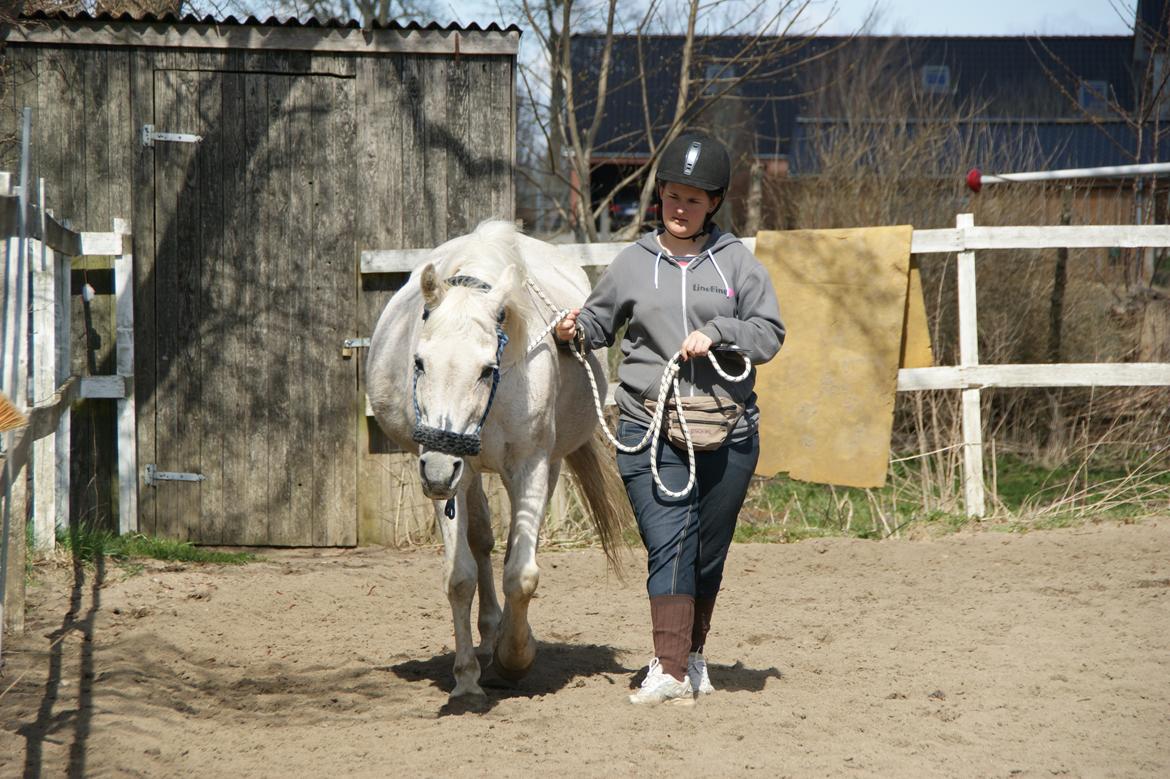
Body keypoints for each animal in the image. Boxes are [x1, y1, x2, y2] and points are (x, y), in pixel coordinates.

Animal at [367, 218, 631, 697]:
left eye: (487, 369)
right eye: (419, 362)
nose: (436, 471)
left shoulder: (529, 466)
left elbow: (521, 575)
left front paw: (516, 658)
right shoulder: (453, 472)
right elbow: (460, 575)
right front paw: (467, 677)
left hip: (539, 466)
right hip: (466, 473)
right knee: (483, 540)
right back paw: (488, 636)